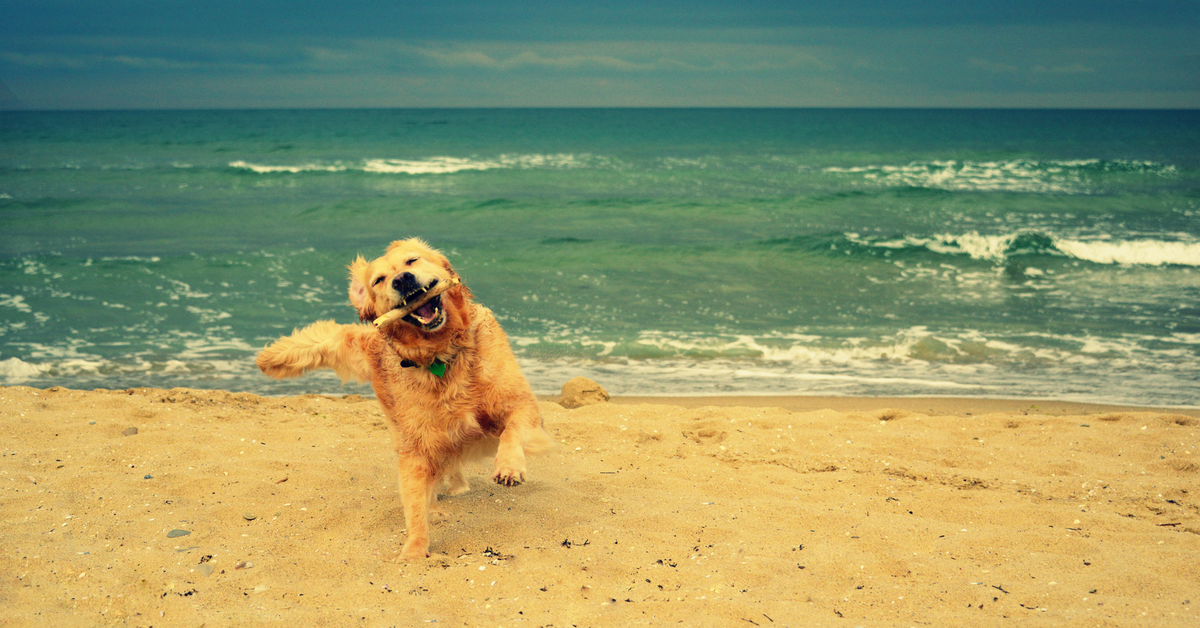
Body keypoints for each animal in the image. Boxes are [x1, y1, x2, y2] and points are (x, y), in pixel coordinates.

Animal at [256, 237, 552, 559]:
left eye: (412, 260)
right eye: (379, 280)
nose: (402, 280)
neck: (441, 354)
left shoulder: (519, 403)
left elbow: (512, 430)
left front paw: (509, 466)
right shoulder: (417, 446)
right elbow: (414, 502)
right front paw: (413, 552)